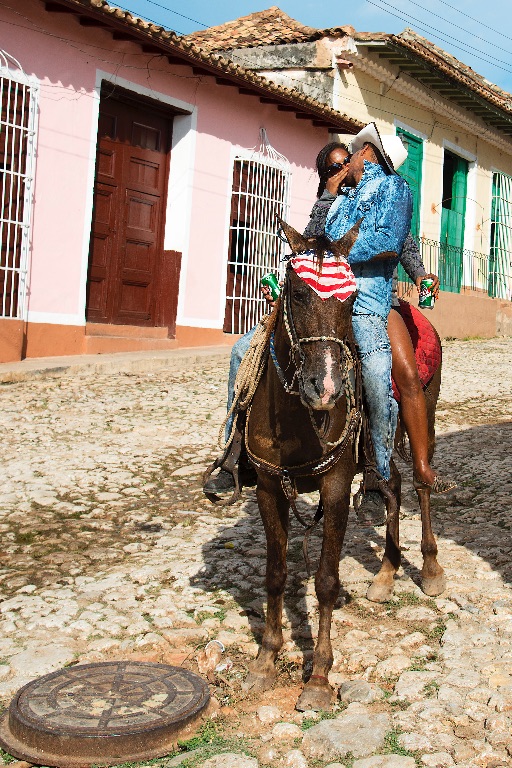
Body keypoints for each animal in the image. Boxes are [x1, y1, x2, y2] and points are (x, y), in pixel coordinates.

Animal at [242, 219, 446, 712]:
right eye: (296, 293)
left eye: (352, 300)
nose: (327, 387)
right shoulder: (268, 488)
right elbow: (275, 574)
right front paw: (265, 659)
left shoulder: (334, 485)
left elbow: (326, 581)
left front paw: (318, 677)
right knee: (391, 485)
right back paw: (387, 573)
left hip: (422, 415)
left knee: (420, 483)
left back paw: (430, 569)